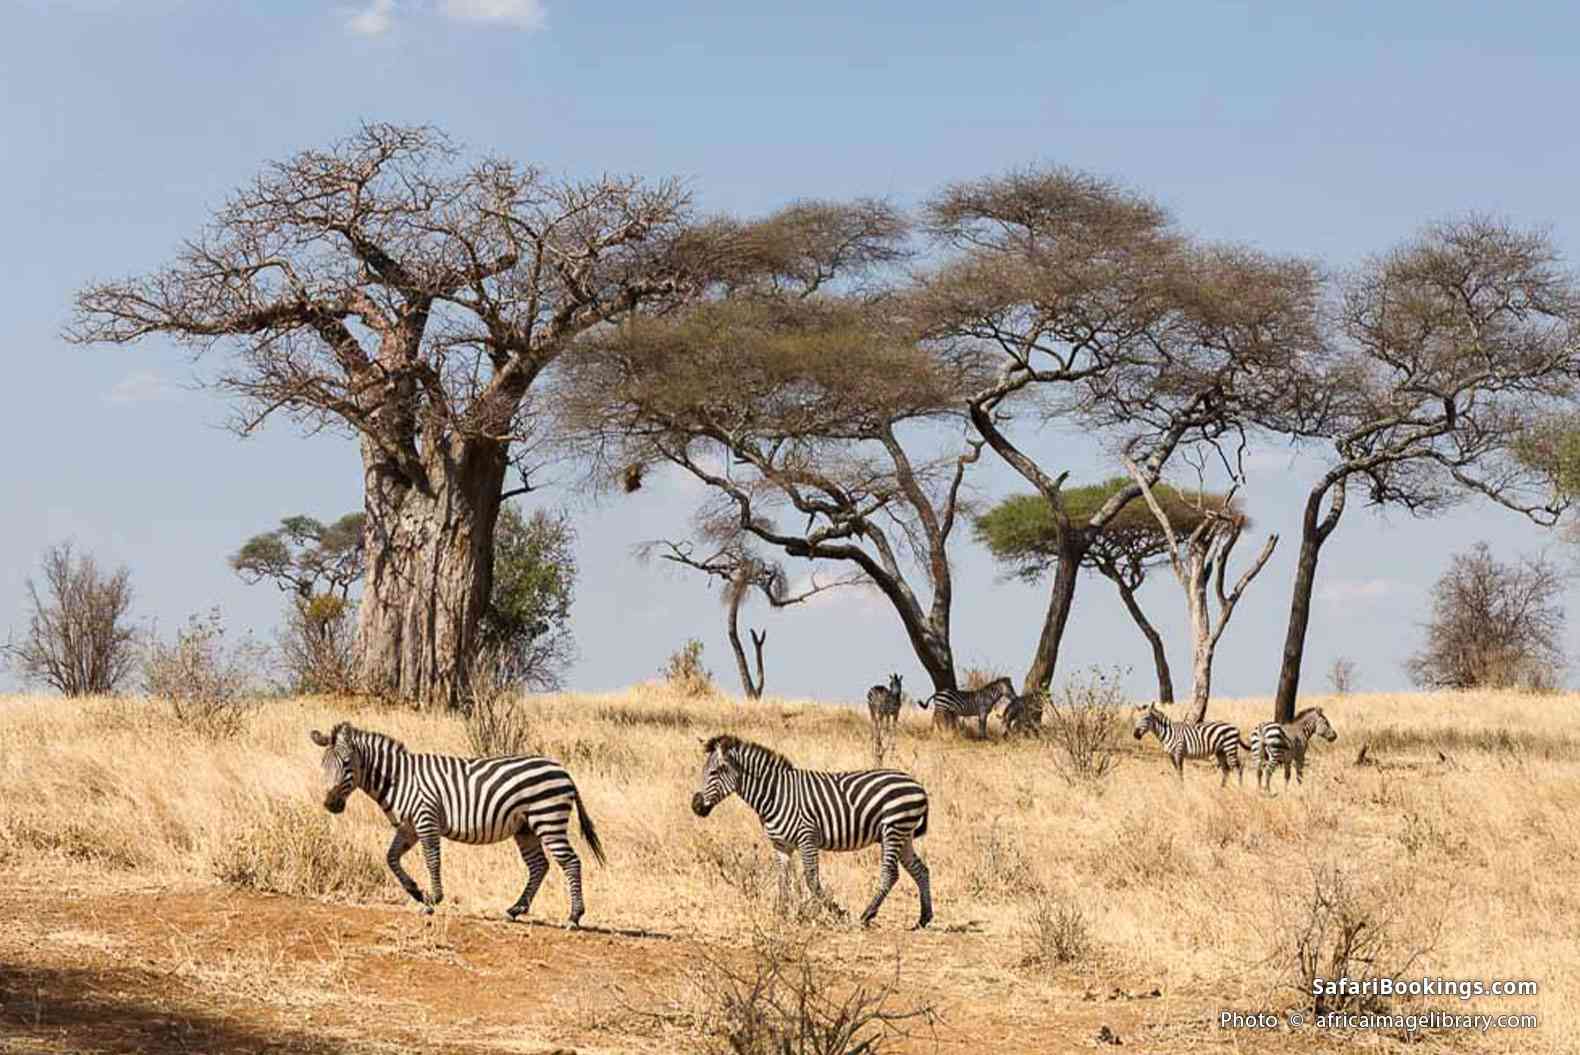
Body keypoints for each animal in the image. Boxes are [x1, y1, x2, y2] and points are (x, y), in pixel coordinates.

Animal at [310, 722, 606, 926]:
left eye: (347, 763)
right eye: (322, 765)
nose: (330, 804)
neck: (398, 779)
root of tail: (563, 770)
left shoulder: (426, 819)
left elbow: (432, 861)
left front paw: (432, 900)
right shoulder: (408, 828)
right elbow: (391, 859)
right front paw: (416, 891)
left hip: (548, 819)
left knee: (570, 862)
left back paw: (574, 917)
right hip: (525, 828)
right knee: (539, 866)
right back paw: (515, 910)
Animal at [690, 734, 932, 929]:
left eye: (714, 772)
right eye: (703, 771)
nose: (696, 806)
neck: (775, 794)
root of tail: (917, 785)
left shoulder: (807, 837)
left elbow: (811, 879)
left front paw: (838, 912)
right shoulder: (781, 844)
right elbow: (783, 877)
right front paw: (781, 912)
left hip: (894, 828)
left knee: (890, 873)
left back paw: (866, 915)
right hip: (903, 835)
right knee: (920, 870)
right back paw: (924, 918)